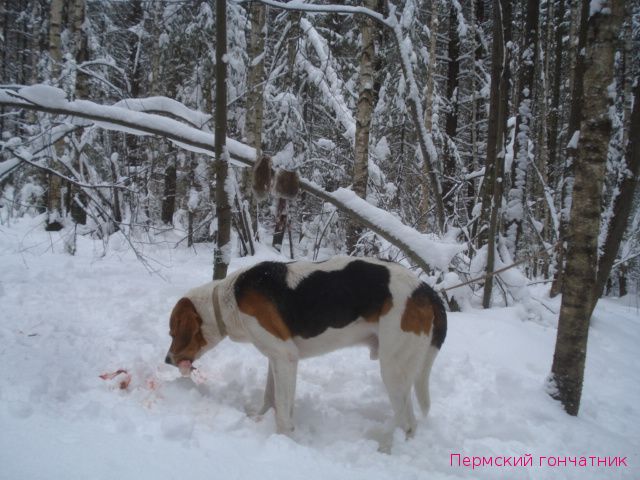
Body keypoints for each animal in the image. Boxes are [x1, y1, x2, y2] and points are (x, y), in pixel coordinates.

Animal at [165, 256, 444, 436]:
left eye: (172, 332)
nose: (167, 360)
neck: (227, 298)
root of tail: (426, 289)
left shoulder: (285, 356)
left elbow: (282, 412)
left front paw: (283, 439)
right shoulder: (276, 358)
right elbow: (270, 397)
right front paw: (258, 417)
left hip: (393, 370)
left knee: (409, 423)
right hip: (401, 372)